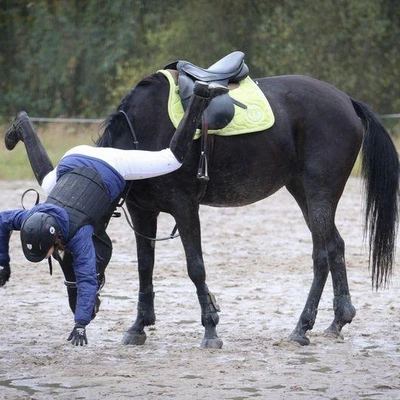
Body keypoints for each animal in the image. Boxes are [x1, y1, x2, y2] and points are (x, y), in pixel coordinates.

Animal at [96, 69, 396, 346]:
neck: (143, 134)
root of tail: (347, 101)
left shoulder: (184, 206)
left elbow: (196, 267)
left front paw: (210, 329)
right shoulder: (142, 211)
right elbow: (145, 267)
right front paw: (139, 326)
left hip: (319, 190)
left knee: (321, 254)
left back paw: (302, 327)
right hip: (302, 191)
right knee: (335, 246)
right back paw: (338, 319)